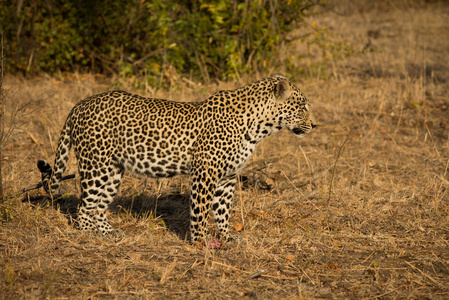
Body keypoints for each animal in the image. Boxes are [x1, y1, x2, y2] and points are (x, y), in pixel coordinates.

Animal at [37, 73, 316, 244]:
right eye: (302, 106)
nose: (315, 124)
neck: (258, 127)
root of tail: (79, 104)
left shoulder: (227, 177)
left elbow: (223, 210)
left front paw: (226, 238)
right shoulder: (205, 173)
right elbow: (201, 210)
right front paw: (200, 242)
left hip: (113, 170)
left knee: (98, 205)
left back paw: (109, 233)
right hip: (96, 165)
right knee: (84, 206)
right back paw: (91, 235)